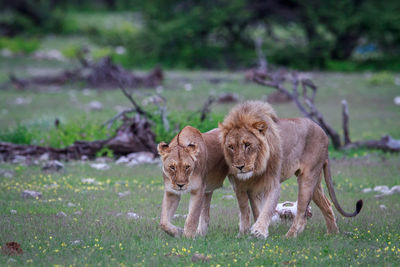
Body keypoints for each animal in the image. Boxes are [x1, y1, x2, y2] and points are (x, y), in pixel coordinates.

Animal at [219, 100, 362, 239]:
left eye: (247, 144)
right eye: (231, 147)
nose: (239, 167)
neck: (256, 167)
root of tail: (323, 132)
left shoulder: (272, 184)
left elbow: (267, 209)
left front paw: (259, 232)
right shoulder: (243, 187)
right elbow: (249, 210)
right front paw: (244, 234)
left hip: (307, 178)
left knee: (301, 211)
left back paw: (290, 235)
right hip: (316, 181)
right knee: (326, 205)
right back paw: (333, 234)